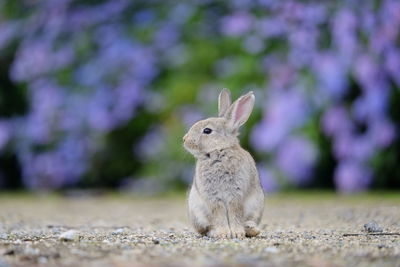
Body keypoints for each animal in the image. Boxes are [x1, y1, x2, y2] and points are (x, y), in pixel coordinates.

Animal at [183, 89, 264, 240]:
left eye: (207, 131)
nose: (185, 140)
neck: (219, 151)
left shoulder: (236, 194)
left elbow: (234, 213)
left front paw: (237, 233)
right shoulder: (213, 197)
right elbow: (219, 215)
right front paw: (223, 234)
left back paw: (252, 230)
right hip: (197, 213)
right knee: (206, 229)